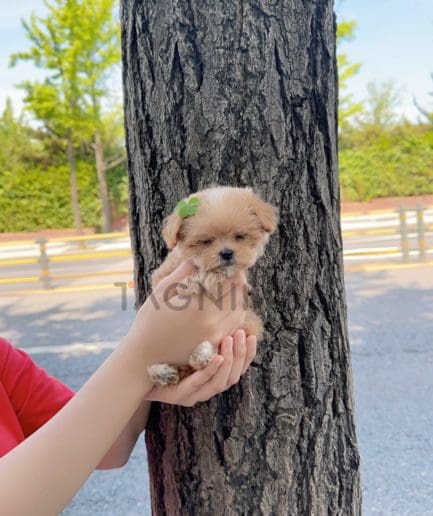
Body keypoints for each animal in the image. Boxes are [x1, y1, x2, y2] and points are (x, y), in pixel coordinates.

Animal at [148, 187, 276, 384]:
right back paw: (163, 372)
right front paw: (193, 281)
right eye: (206, 241)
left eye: (240, 236)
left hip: (248, 324)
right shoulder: (161, 277)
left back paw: (201, 354)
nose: (226, 253)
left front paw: (199, 279)